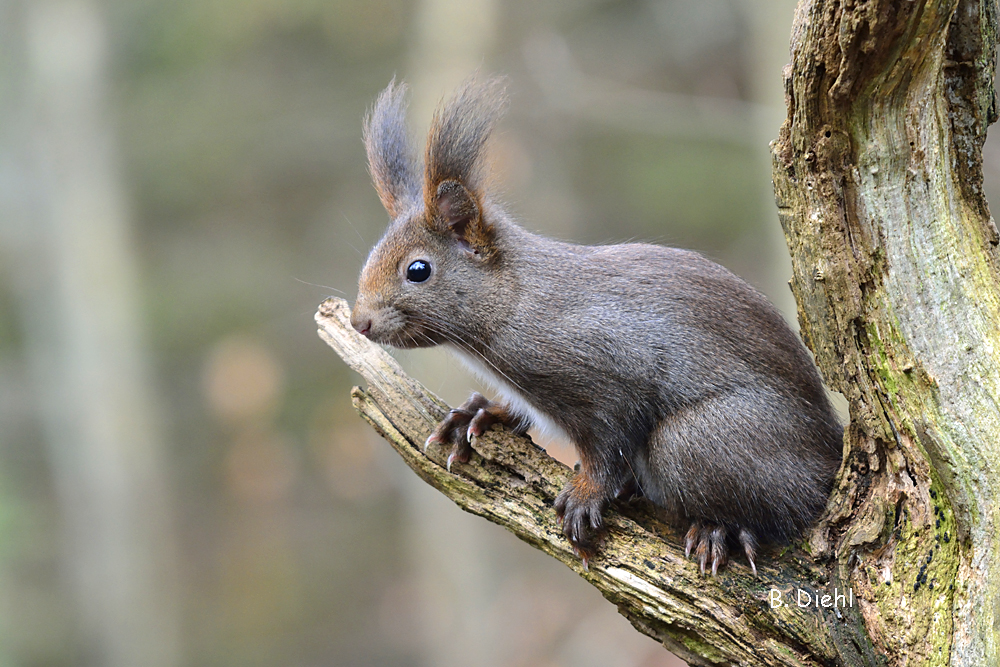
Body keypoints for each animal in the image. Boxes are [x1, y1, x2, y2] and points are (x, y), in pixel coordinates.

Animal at [352, 77, 844, 576]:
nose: (359, 322)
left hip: (702, 440)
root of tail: (832, 450)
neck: (515, 304)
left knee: (782, 503)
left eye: (418, 270)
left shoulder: (607, 369)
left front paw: (586, 494)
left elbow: (610, 444)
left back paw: (719, 529)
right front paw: (478, 412)